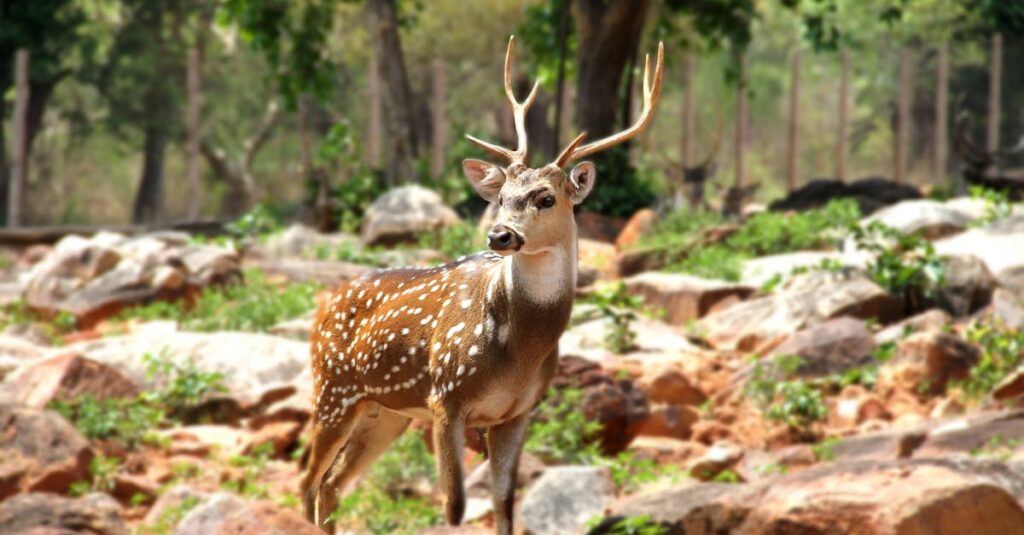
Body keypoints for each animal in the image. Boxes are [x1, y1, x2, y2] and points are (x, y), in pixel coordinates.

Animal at [299, 35, 663, 528]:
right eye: (503, 196)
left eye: (546, 198)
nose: (499, 235)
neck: (518, 352)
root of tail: (323, 305)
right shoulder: (445, 398)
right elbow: (454, 507)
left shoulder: (518, 411)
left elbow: (504, 504)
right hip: (333, 388)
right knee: (308, 481)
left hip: (384, 410)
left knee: (332, 485)